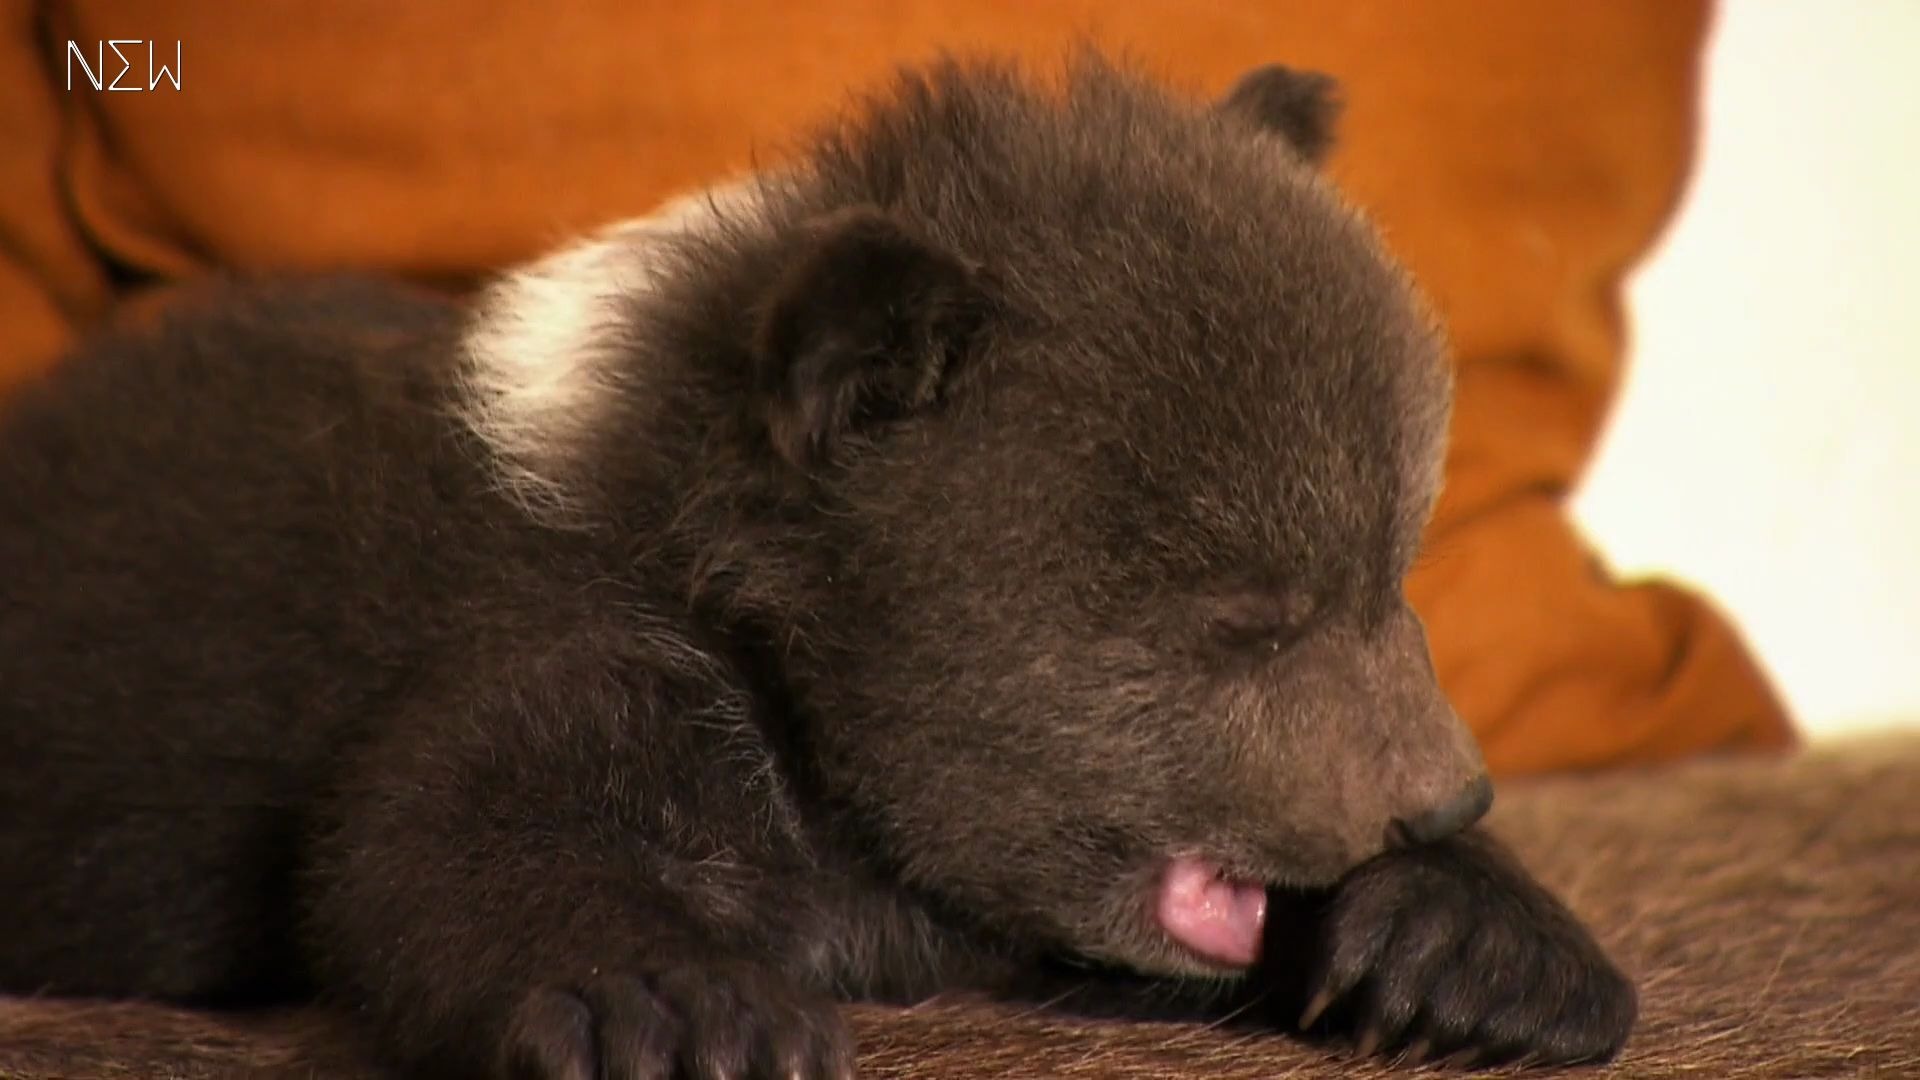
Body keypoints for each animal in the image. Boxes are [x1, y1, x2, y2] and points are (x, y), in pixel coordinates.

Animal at [0, 54, 1635, 1078]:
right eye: (1244, 615)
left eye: (1392, 569)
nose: (1444, 792)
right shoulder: (569, 649)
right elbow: (440, 830)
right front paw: (676, 1003)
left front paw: (1472, 939)